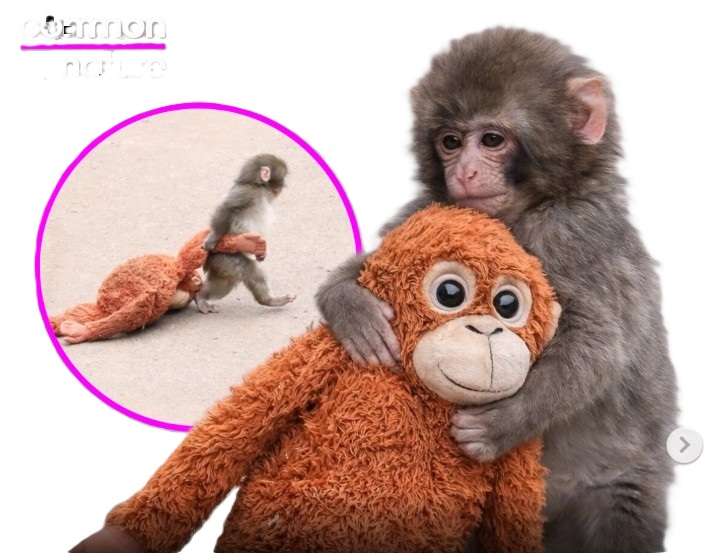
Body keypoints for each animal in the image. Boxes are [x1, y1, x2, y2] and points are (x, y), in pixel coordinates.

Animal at [195, 153, 296, 314]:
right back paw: (270, 301)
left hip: (222, 265)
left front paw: (262, 253)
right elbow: (226, 208)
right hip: (225, 257)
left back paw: (201, 296)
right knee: (250, 271)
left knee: (224, 283)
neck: (257, 186)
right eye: (283, 178)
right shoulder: (247, 193)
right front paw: (213, 238)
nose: (283, 186)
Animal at [316, 28, 678, 553]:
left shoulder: (574, 232)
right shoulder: (433, 210)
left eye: (491, 139)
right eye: (450, 142)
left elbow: (598, 345)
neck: (524, 211)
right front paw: (350, 306)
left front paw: (501, 424)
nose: (464, 172)